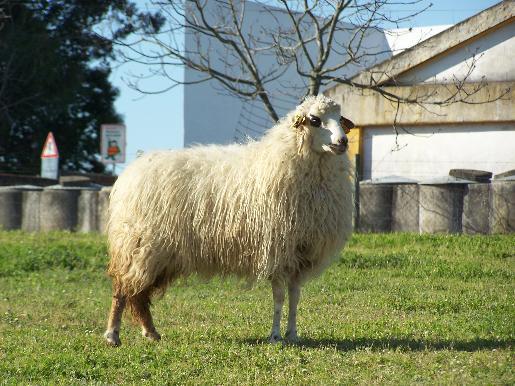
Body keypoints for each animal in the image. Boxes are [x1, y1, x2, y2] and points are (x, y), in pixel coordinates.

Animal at [103, 94, 356, 346]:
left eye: (340, 119)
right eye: (315, 120)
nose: (343, 142)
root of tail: (131, 170)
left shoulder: (300, 254)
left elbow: (294, 297)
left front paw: (292, 334)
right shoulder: (277, 250)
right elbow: (278, 297)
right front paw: (275, 336)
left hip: (159, 254)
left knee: (139, 294)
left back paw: (150, 332)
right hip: (138, 243)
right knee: (122, 288)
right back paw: (112, 334)